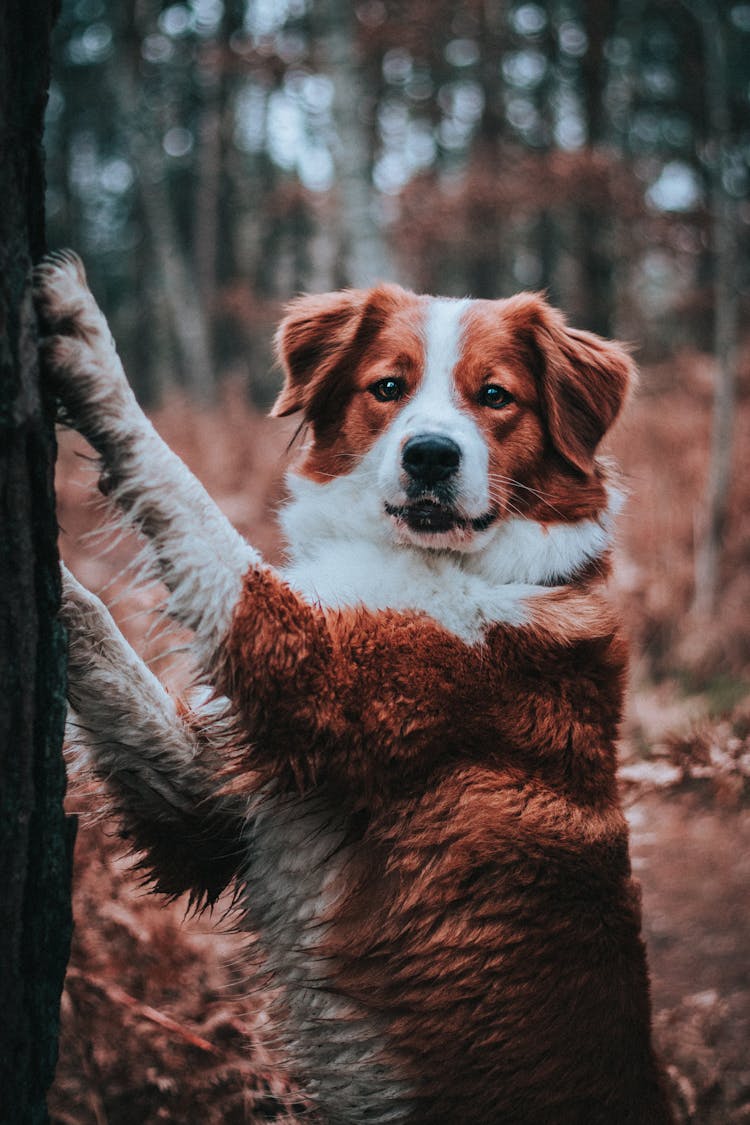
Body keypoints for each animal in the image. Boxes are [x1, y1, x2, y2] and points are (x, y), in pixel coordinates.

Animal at [35, 255, 674, 1125]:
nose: (431, 455)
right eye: (388, 387)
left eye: (495, 395)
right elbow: (105, 636)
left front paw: (87, 342)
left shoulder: (302, 669)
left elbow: (180, 490)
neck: (439, 561)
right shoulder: (211, 807)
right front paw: (56, 584)